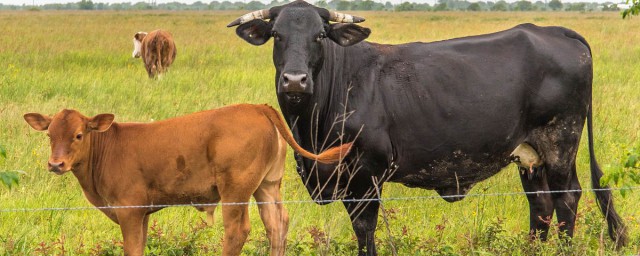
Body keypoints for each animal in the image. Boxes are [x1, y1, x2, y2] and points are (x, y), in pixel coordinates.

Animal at [25, 104, 352, 256]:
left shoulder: (129, 210)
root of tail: (256, 107)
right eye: (50, 135)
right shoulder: (142, 212)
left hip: (236, 189)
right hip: (267, 184)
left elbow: (132, 248)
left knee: (238, 230)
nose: (55, 164)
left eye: (79, 135)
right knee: (277, 224)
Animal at [229, 1, 624, 254]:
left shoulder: (366, 175)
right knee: (540, 203)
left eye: (320, 36)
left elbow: (364, 229)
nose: (295, 80)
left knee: (566, 198)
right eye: (277, 35)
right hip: (529, 154)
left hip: (561, 141)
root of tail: (551, 31)